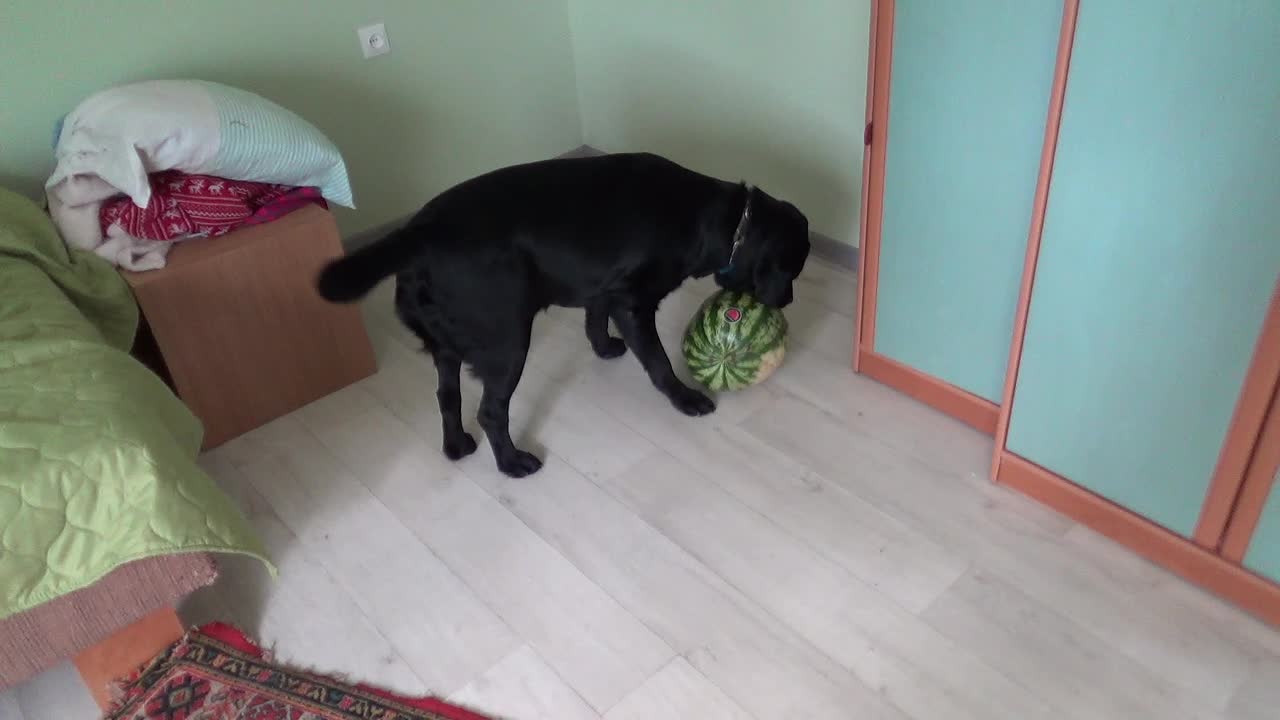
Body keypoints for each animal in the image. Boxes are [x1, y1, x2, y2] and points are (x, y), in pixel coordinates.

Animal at [318, 151, 808, 476]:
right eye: (792, 268)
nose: (787, 301)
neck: (718, 219)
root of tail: (415, 235)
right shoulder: (632, 302)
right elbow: (659, 362)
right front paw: (685, 399)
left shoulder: (603, 287)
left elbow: (594, 317)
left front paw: (605, 348)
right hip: (508, 341)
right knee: (491, 411)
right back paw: (512, 463)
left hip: (449, 344)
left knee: (447, 395)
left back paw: (456, 446)